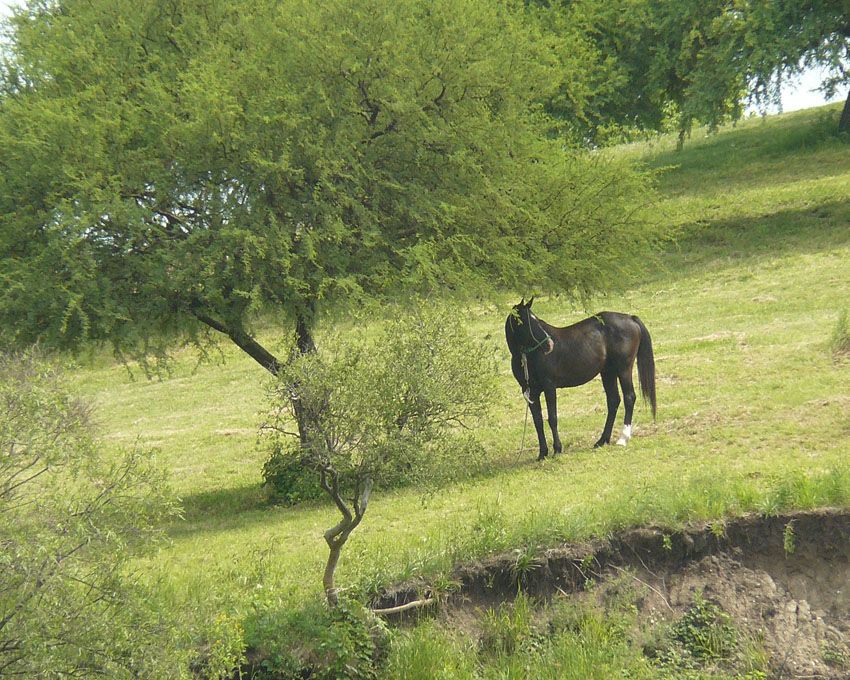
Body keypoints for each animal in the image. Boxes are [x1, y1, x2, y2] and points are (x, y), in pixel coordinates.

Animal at [504, 300, 656, 460]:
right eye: (523, 321)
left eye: (536, 320)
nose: (549, 344)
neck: (528, 358)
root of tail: (630, 318)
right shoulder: (530, 392)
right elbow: (538, 421)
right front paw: (542, 453)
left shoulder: (549, 386)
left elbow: (552, 418)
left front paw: (557, 449)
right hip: (608, 373)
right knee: (613, 401)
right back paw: (602, 440)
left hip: (624, 369)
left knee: (629, 397)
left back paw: (623, 438)